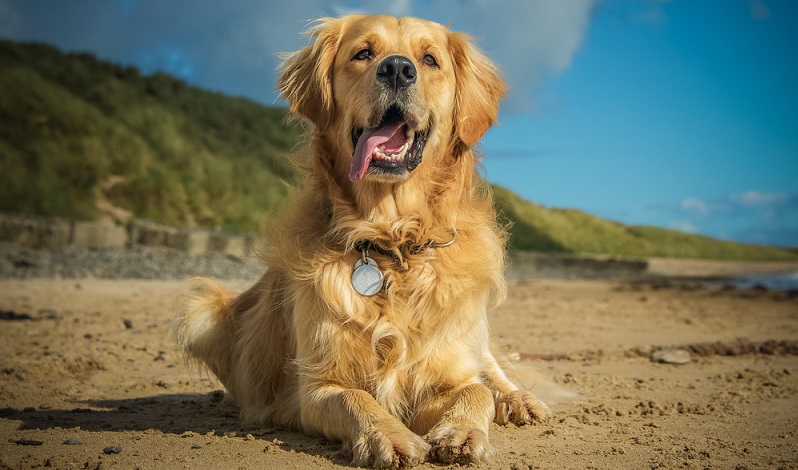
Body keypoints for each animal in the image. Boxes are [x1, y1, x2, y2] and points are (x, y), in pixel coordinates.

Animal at [173, 13, 552, 466]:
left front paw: (462, 432)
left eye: (429, 59)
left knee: (490, 368)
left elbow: (475, 390)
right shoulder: (315, 387)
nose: (397, 69)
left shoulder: (442, 370)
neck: (391, 241)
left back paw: (519, 399)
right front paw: (389, 437)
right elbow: (356, 398)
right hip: (204, 311)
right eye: (363, 54)